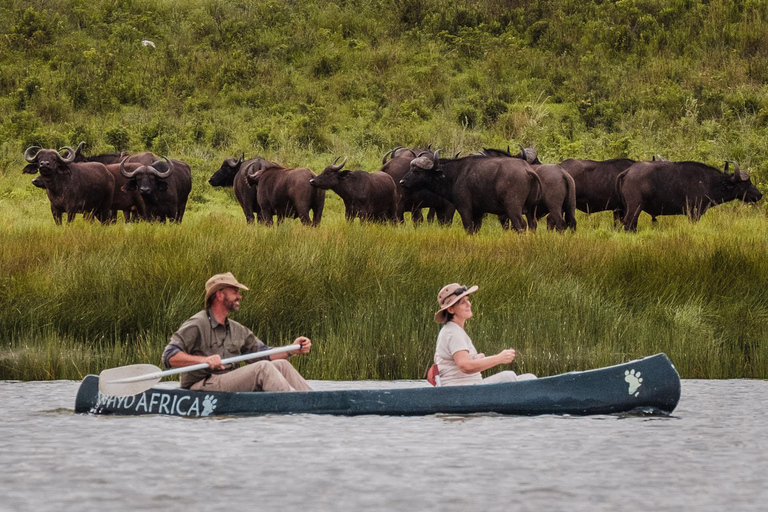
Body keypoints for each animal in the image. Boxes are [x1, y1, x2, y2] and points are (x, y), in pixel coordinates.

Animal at [402, 150, 540, 234]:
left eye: (416, 171)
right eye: (410, 168)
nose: (401, 182)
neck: (455, 175)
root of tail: (527, 170)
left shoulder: (464, 208)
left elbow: (468, 228)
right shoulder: (478, 212)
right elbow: (476, 229)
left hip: (513, 208)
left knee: (521, 225)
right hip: (531, 210)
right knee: (532, 224)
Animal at [616, 161, 760, 231]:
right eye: (747, 182)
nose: (760, 194)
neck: (709, 182)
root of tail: (629, 171)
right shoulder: (694, 213)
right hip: (635, 206)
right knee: (629, 222)